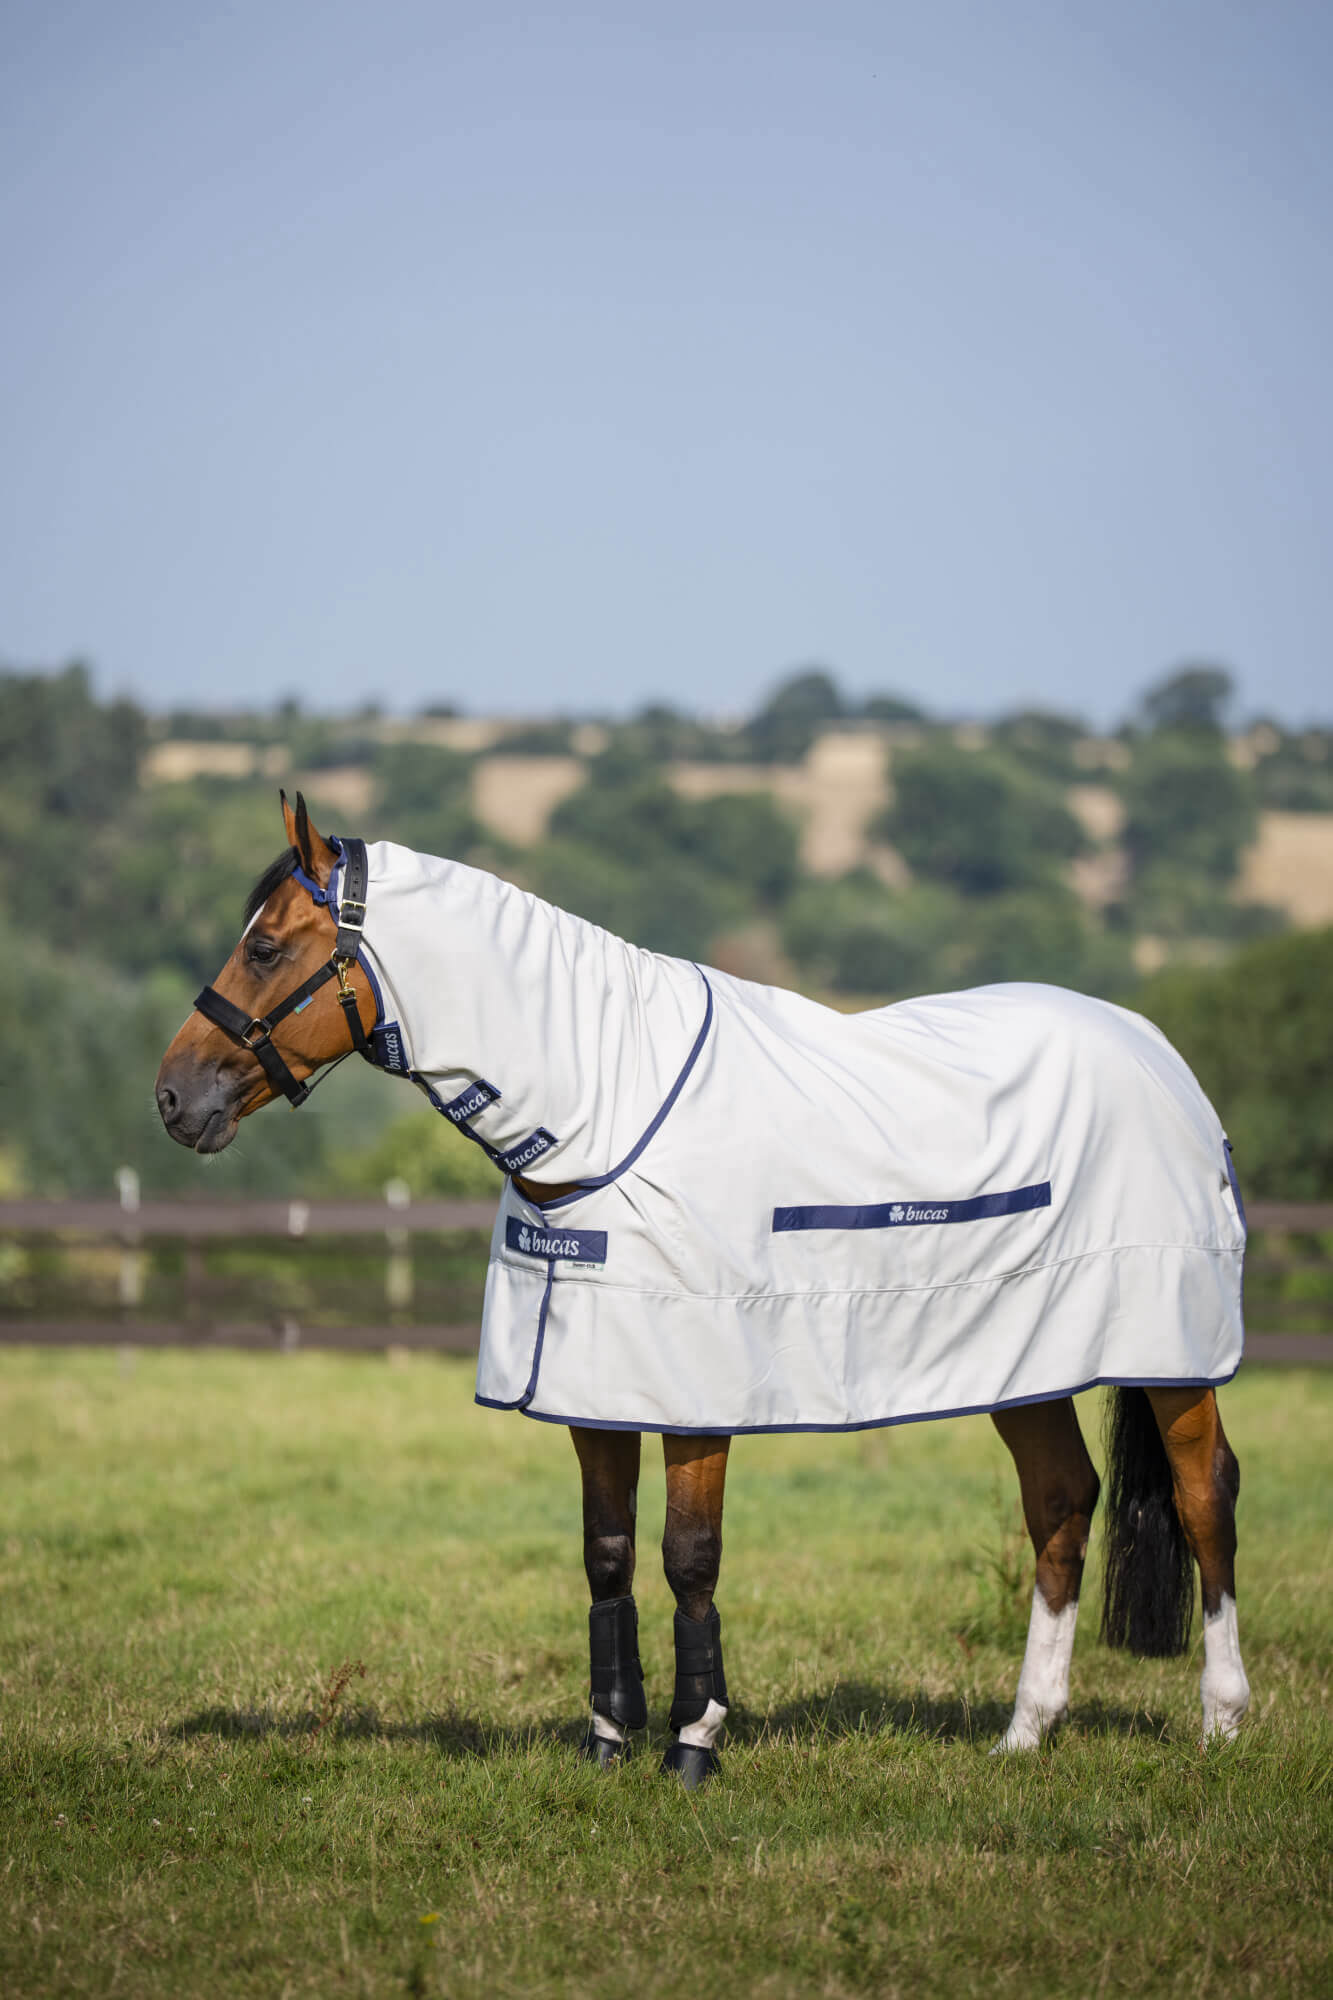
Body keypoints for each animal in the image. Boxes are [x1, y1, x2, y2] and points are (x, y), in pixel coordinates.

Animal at [155, 792, 1251, 1785]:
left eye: (265, 947)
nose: (173, 1095)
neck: (606, 1108)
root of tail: (1157, 1051)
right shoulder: (592, 1388)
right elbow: (605, 1551)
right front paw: (607, 1738)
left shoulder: (696, 1394)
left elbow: (689, 1554)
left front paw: (693, 1740)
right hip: (1022, 1359)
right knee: (1060, 1502)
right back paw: (1025, 1730)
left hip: (1170, 1353)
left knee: (1203, 1494)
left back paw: (1221, 1719)